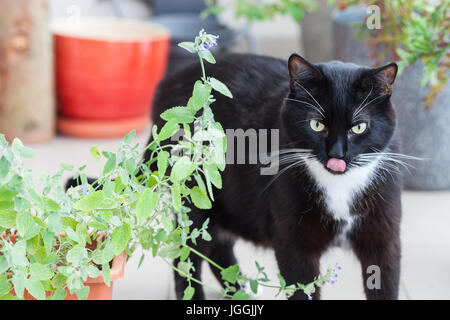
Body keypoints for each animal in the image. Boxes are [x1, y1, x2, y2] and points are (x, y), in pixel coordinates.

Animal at [149, 52, 404, 300]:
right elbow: (302, 290)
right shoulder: (294, 244)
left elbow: (384, 282)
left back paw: (240, 289)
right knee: (187, 256)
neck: (339, 187)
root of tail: (168, 83)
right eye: (316, 125)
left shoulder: (383, 236)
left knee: (218, 248)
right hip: (197, 196)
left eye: (359, 127)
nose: (336, 155)